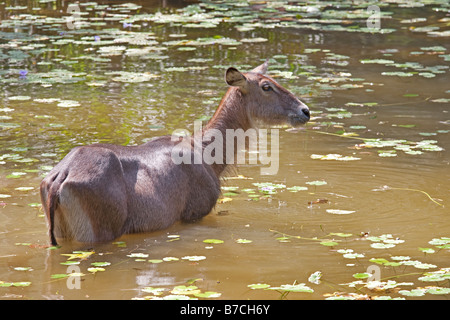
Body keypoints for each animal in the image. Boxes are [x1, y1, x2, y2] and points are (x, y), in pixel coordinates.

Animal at [40, 60, 310, 245]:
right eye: (267, 86)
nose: (305, 110)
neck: (210, 156)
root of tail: (59, 178)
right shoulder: (194, 213)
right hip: (99, 233)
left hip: (60, 234)